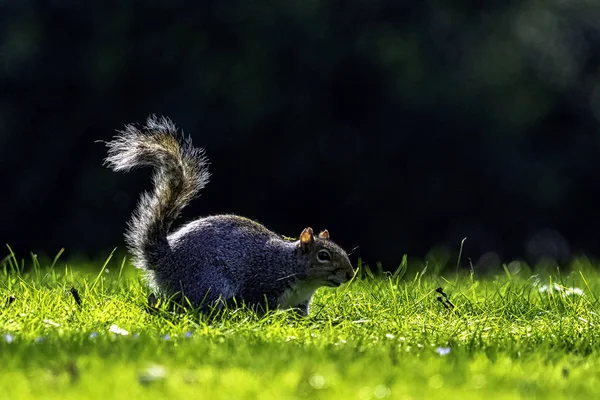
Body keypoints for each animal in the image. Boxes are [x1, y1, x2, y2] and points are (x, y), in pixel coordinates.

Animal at [105, 115, 354, 316]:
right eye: (323, 255)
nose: (351, 274)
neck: (291, 266)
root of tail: (165, 258)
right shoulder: (262, 286)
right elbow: (260, 309)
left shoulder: (300, 304)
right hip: (209, 281)